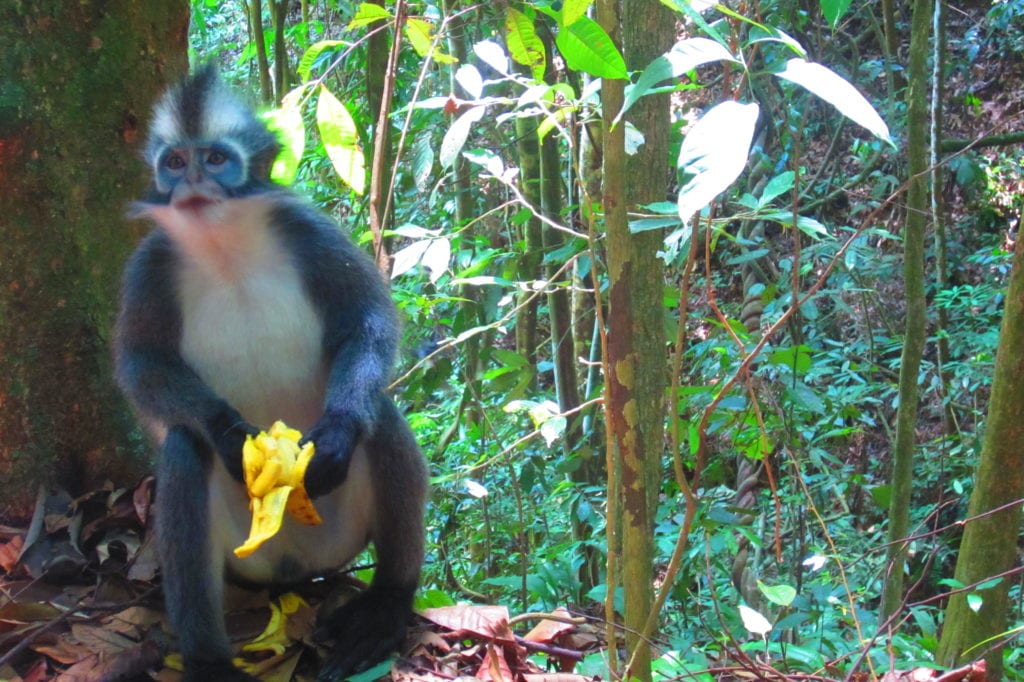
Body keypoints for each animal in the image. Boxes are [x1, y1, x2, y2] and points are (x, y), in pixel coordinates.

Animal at [115, 65, 428, 679]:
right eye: (174, 161)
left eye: (215, 158)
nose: (191, 184)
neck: (223, 247)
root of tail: (293, 572)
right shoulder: (151, 264)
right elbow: (141, 364)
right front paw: (228, 431)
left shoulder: (308, 232)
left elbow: (368, 321)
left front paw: (336, 432)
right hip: (243, 562)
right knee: (184, 450)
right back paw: (207, 657)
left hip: (341, 534)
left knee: (378, 411)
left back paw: (386, 603)